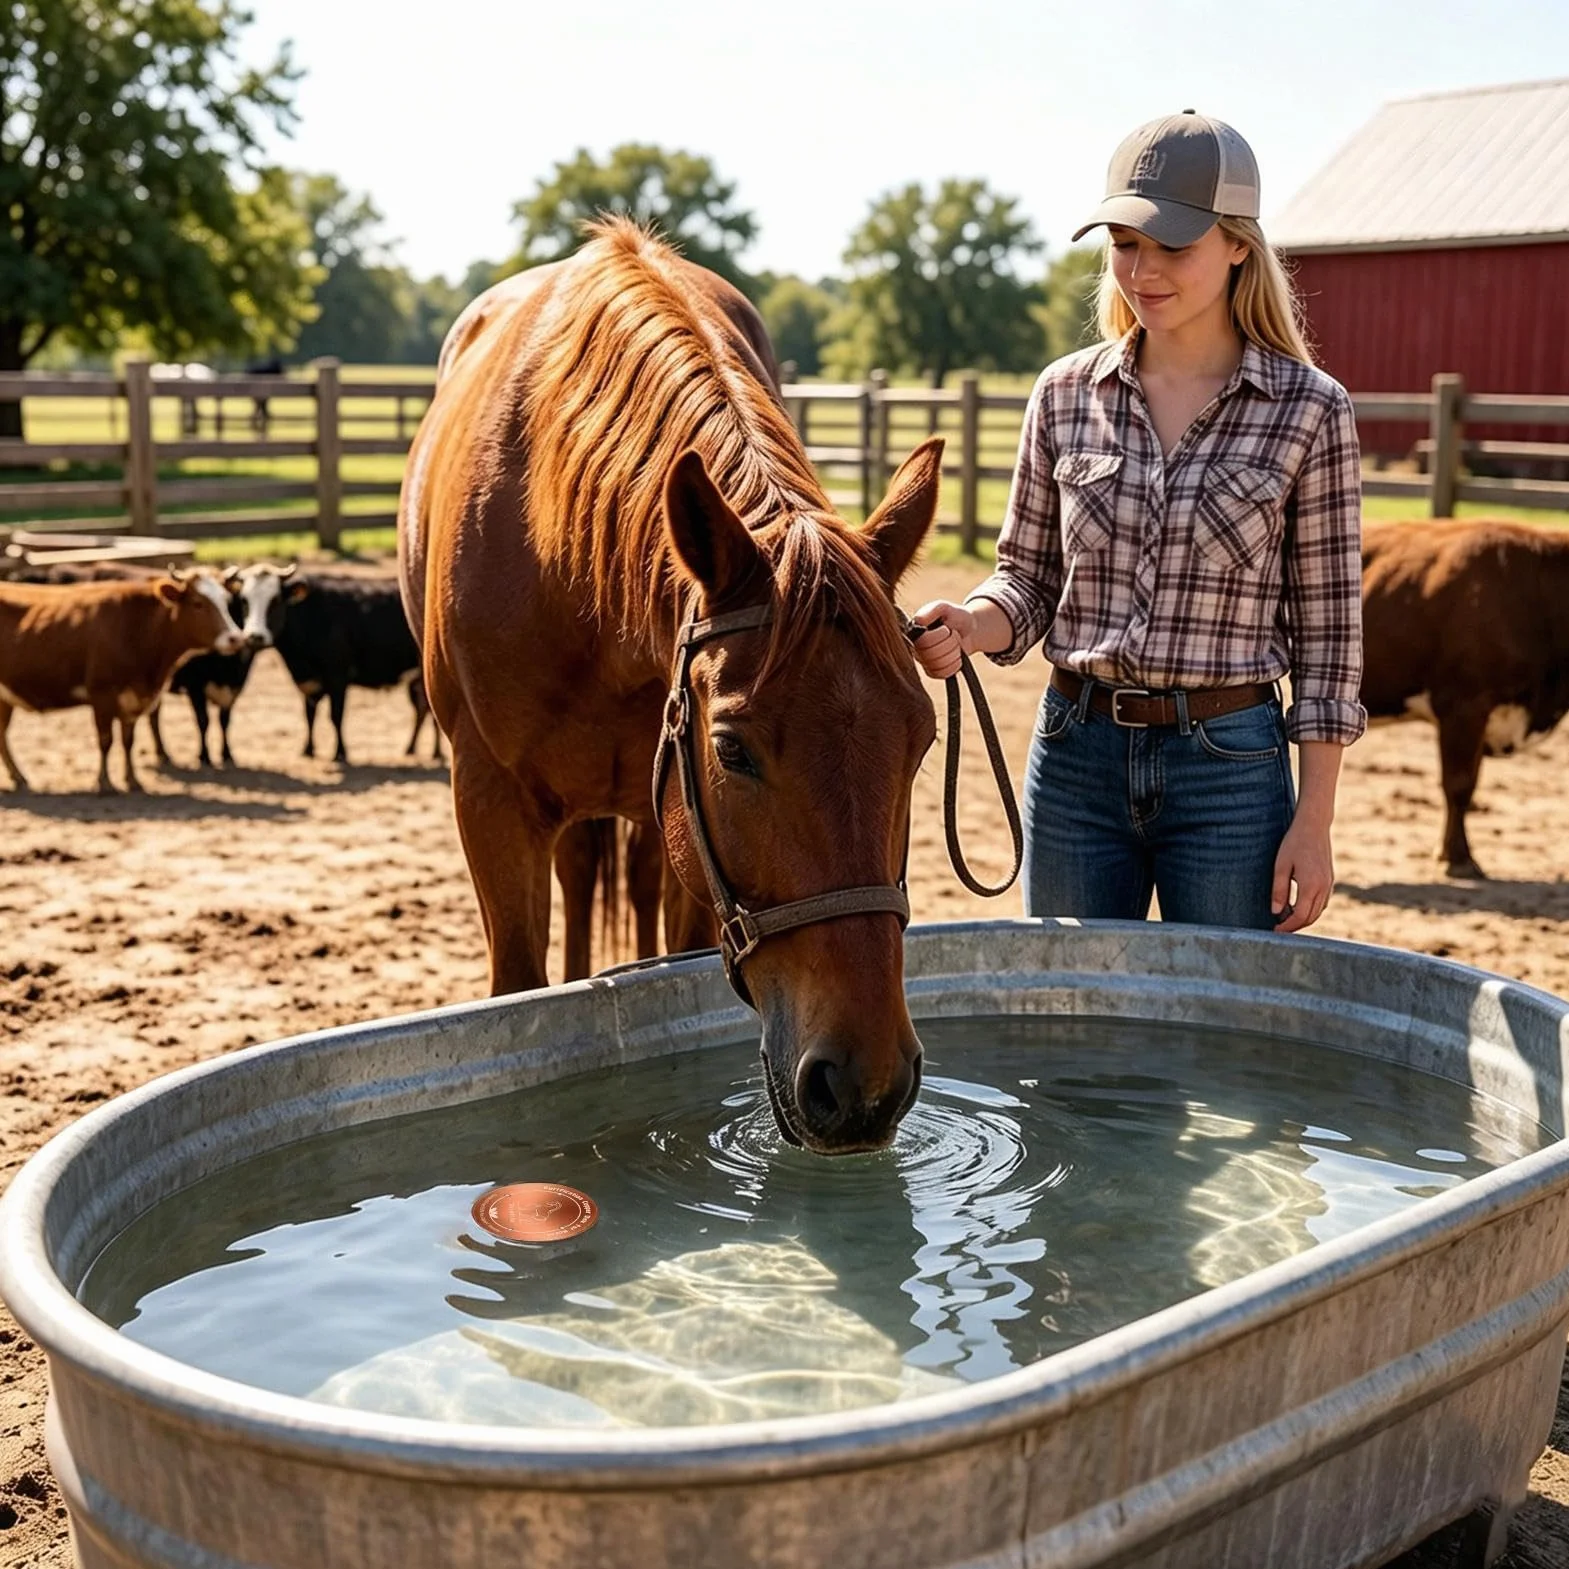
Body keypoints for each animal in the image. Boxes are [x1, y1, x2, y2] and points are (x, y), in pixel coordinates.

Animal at [398, 219, 944, 1154]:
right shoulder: (490, 802)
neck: (558, 544)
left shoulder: (681, 829)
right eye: (733, 750)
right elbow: (520, 992)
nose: (866, 1085)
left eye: (920, 742)